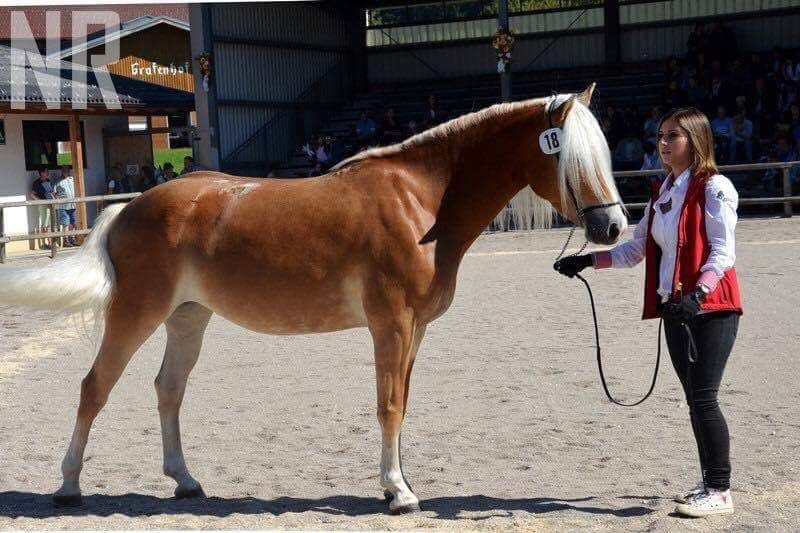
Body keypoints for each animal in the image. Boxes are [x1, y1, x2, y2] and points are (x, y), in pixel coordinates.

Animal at [0, 83, 627, 513]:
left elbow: (403, 403)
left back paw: (186, 480)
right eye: (570, 156)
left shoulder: (415, 329)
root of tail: (129, 208)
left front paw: (401, 482)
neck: (420, 202)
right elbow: (388, 404)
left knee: (168, 390)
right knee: (94, 388)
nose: (614, 227)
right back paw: (69, 485)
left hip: (187, 320)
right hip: (136, 314)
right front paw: (397, 493)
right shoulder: (391, 325)